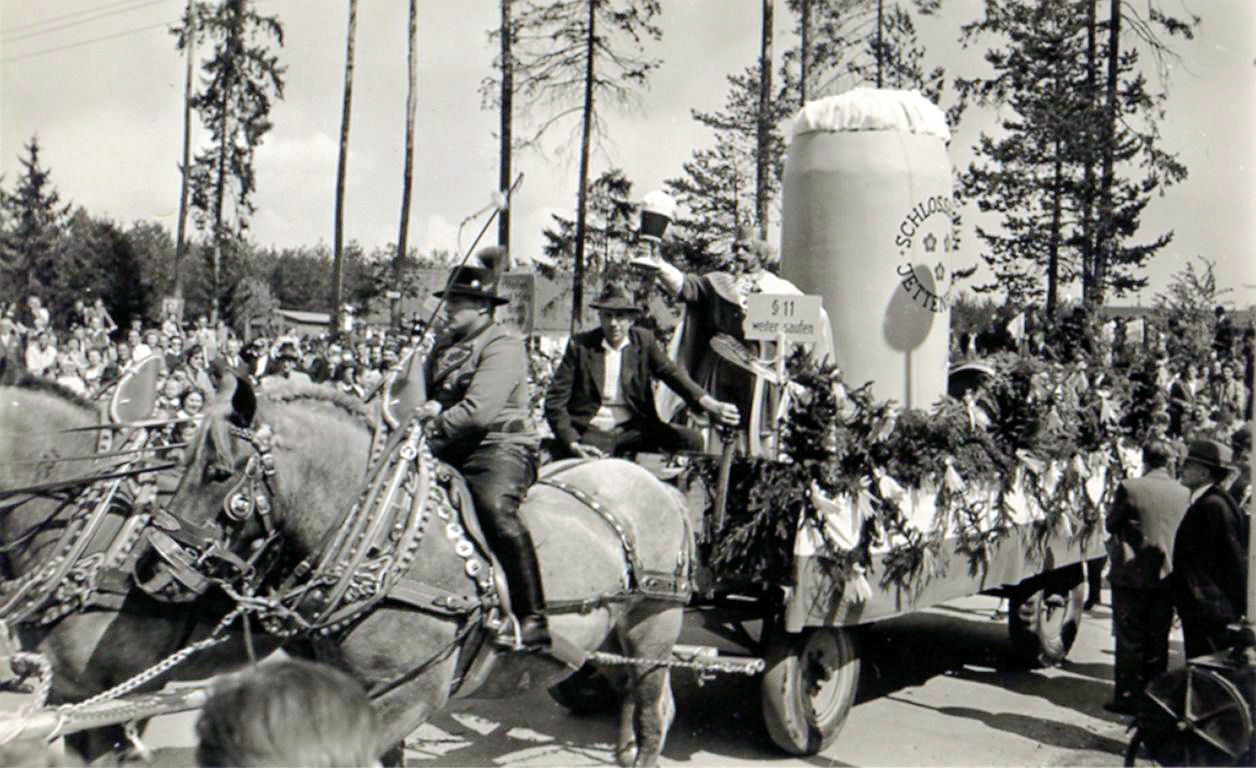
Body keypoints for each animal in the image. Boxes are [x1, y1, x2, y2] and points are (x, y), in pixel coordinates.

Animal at [162, 382, 693, 764]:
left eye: (219, 472)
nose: (157, 568)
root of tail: (660, 483)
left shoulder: (410, 696)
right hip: (608, 636)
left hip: (653, 622)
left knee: (653, 715)